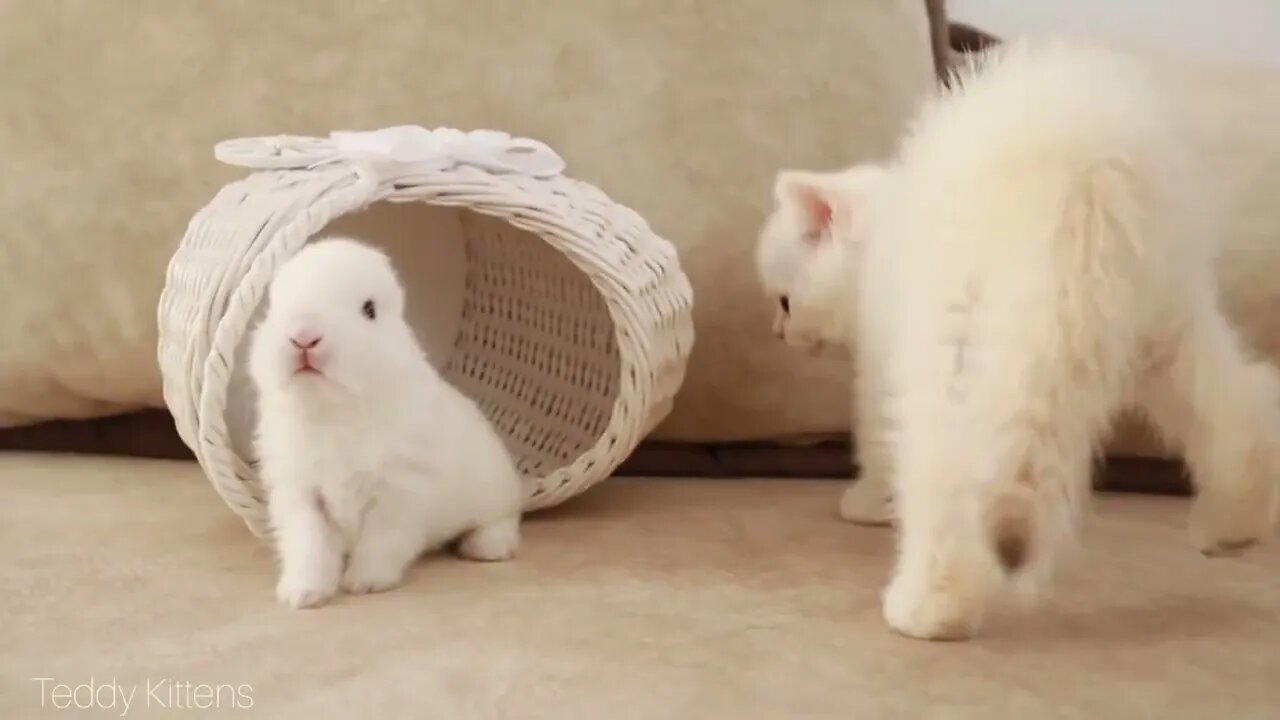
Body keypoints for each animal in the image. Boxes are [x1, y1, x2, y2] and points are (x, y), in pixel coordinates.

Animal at [244, 235, 524, 604]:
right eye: (273, 307)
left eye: (369, 310)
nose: (303, 337)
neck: (335, 411)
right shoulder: (302, 496)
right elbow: (310, 547)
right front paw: (301, 595)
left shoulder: (399, 492)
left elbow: (381, 543)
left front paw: (365, 584)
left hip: (495, 496)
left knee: (503, 521)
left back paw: (485, 549)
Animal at [752, 37, 1274, 638]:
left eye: (785, 302)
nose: (779, 332)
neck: (880, 230)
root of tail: (1089, 170)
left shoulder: (892, 352)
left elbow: (877, 438)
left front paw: (865, 501)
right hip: (1164, 320)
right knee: (1239, 408)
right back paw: (1232, 525)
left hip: (966, 335)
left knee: (951, 470)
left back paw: (932, 606)